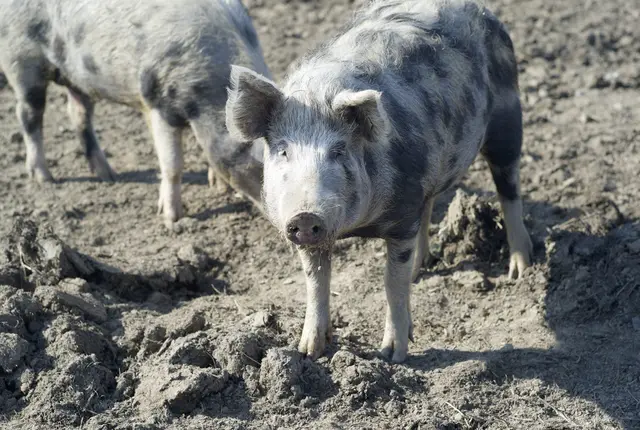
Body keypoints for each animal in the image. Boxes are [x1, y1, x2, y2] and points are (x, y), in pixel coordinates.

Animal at [0, 0, 268, 227]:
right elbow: (172, 164)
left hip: (77, 77)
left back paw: (108, 176)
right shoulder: (158, 102)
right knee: (28, 115)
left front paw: (219, 188)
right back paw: (45, 178)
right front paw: (172, 219)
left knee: (78, 113)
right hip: (21, 62)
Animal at [225, 0, 534, 363]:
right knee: (430, 205)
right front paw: (308, 352)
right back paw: (420, 271)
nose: (305, 215)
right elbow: (316, 283)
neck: (357, 227)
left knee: (509, 189)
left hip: (508, 118)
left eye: (339, 151)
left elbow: (391, 284)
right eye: (283, 150)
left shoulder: (401, 220)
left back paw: (520, 270)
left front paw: (391, 355)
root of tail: (479, 10)